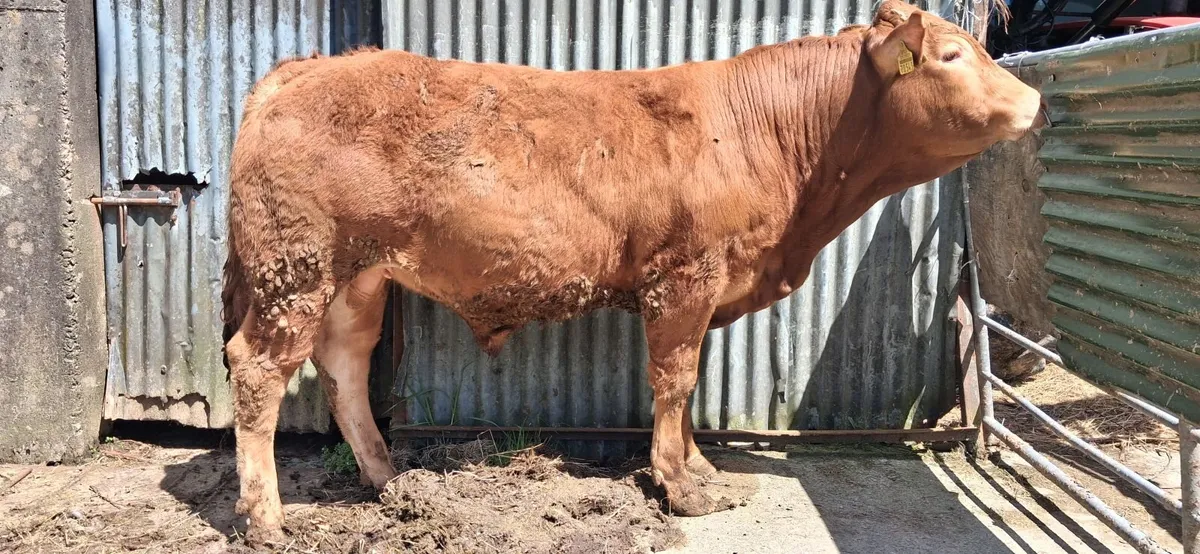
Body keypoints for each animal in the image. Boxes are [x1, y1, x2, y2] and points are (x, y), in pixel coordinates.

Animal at [221, 0, 1044, 543]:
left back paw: (389, 481)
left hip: (353, 276)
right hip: (297, 269)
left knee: (344, 365)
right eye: (950, 56)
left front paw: (702, 471)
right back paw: (266, 519)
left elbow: (691, 385)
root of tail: (298, 73)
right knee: (257, 370)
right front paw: (681, 488)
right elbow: (675, 380)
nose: (1036, 97)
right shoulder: (683, 279)